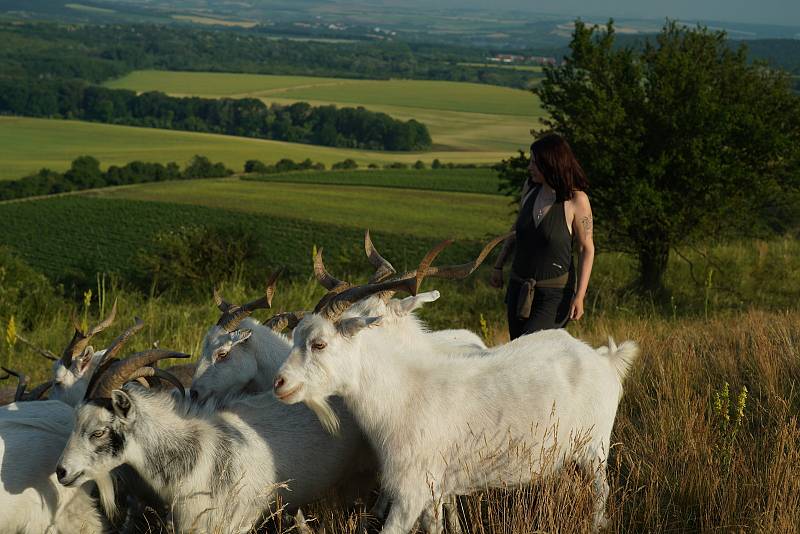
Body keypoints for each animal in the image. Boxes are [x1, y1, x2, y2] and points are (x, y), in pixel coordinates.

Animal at [274, 244, 636, 534]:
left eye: (319, 343)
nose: (280, 383)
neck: (407, 389)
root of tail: (604, 358)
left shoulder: (411, 490)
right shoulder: (434, 492)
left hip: (595, 449)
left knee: (601, 493)